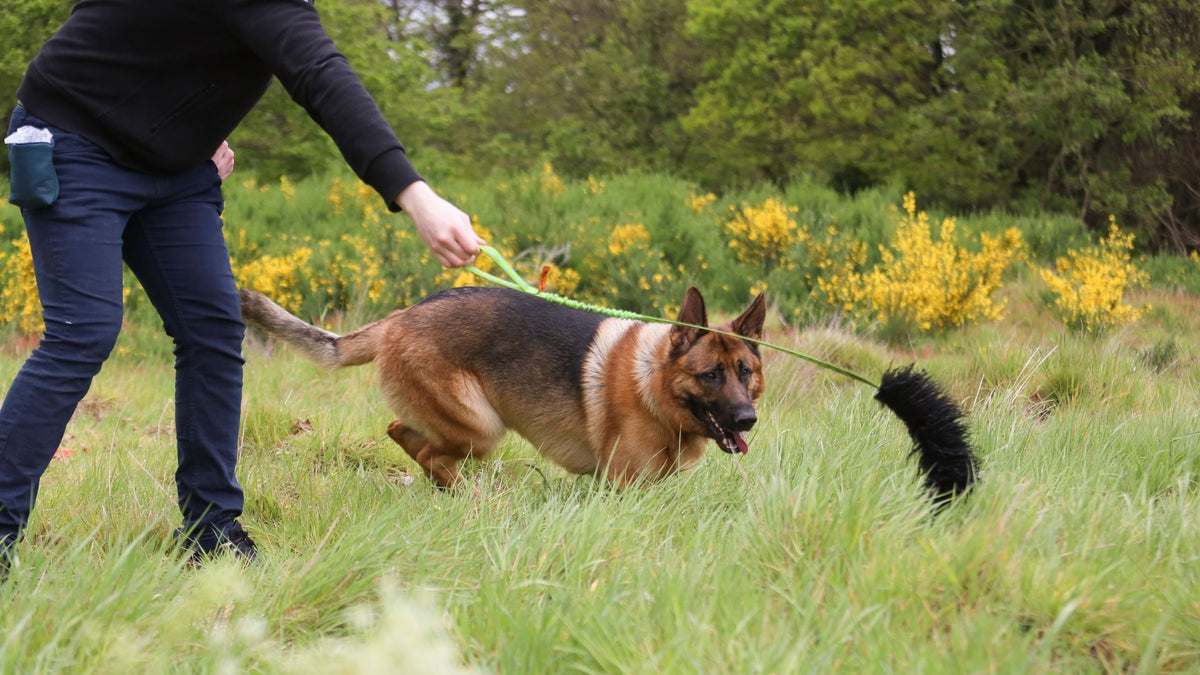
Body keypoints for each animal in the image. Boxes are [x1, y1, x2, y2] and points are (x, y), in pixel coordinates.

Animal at [241, 285, 768, 485]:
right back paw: (467, 496)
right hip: (482, 427)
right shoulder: (621, 486)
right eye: (710, 375)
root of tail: (399, 318)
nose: (748, 420)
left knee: (402, 433)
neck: (653, 382)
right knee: (429, 452)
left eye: (745, 372)